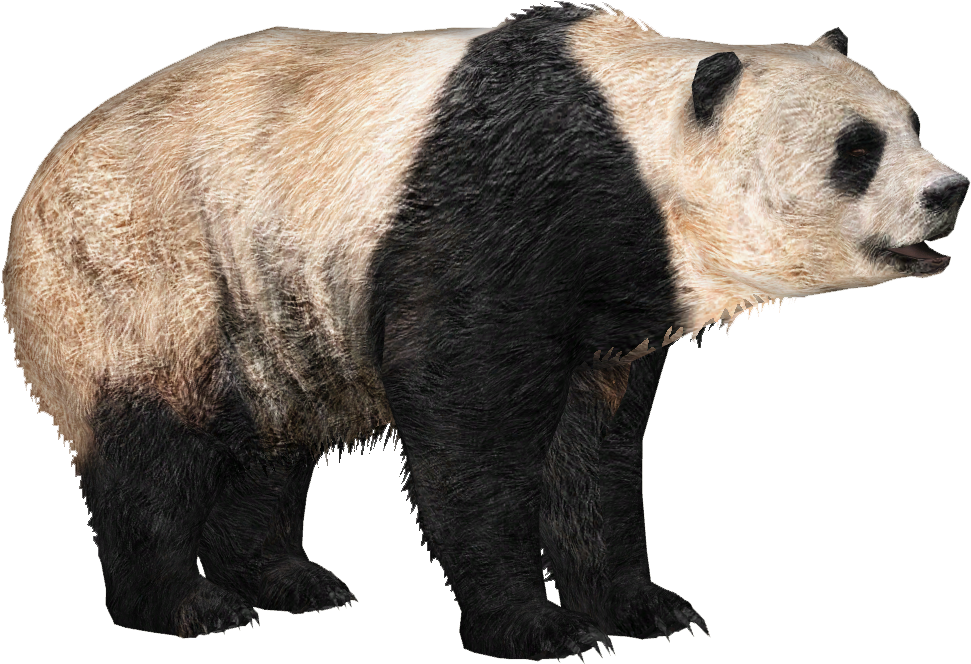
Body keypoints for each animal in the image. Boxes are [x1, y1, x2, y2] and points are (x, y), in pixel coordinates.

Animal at [3, 3, 964, 658]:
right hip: (147, 268)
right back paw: (190, 605)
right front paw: (540, 628)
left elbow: (595, 450)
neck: (629, 138)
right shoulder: (498, 202)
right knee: (150, 442)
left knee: (268, 439)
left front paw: (646, 608)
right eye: (855, 149)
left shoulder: (611, 299)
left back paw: (290, 580)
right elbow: (466, 416)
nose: (948, 192)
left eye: (913, 125)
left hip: (263, 301)